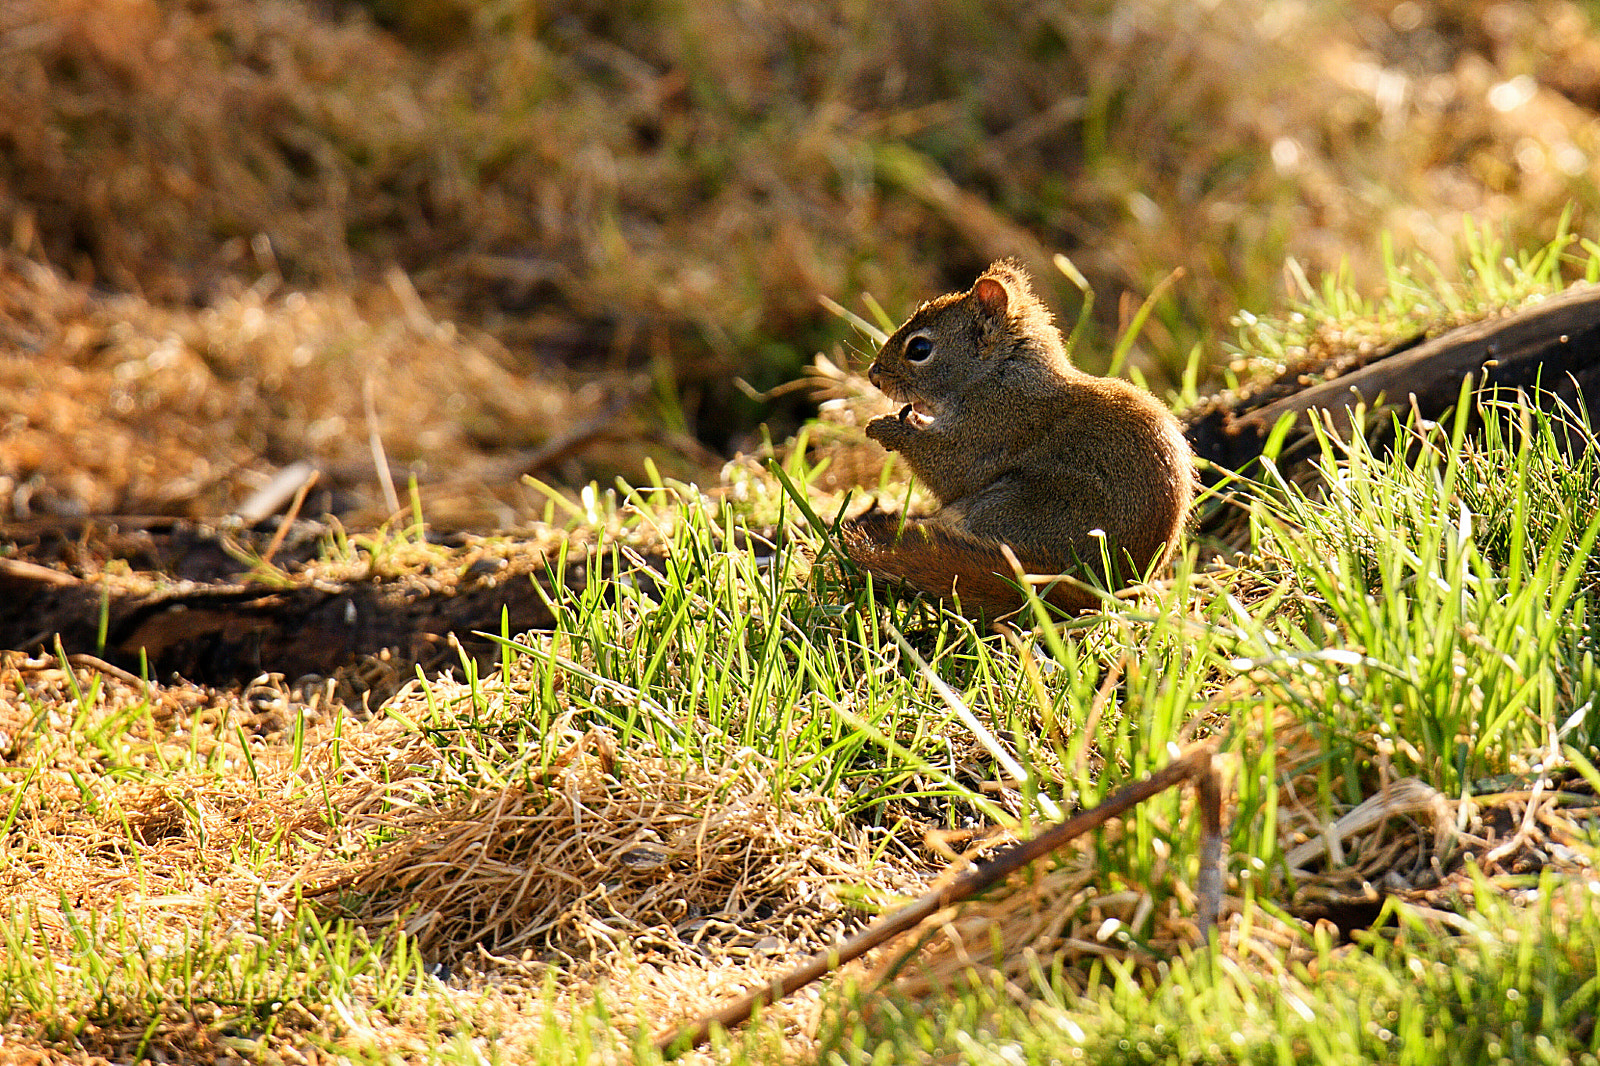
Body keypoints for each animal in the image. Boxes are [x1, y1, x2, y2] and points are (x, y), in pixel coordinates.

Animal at [840, 260, 1194, 620]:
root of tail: (1104, 592)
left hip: (1014, 508)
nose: (873, 375)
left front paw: (888, 428)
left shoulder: (991, 428)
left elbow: (950, 471)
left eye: (919, 349)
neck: (996, 374)